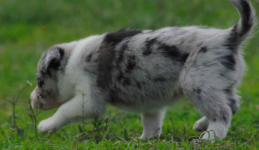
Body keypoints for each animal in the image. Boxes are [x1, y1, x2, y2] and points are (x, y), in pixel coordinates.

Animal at [30, 0, 256, 142]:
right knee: (233, 104)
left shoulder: (89, 99)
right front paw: (145, 140)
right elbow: (151, 123)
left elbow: (64, 110)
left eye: (39, 81)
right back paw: (201, 125)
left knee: (223, 112)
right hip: (220, 83)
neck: (71, 62)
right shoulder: (151, 103)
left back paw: (209, 137)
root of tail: (229, 37)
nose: (32, 100)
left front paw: (45, 125)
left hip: (195, 81)